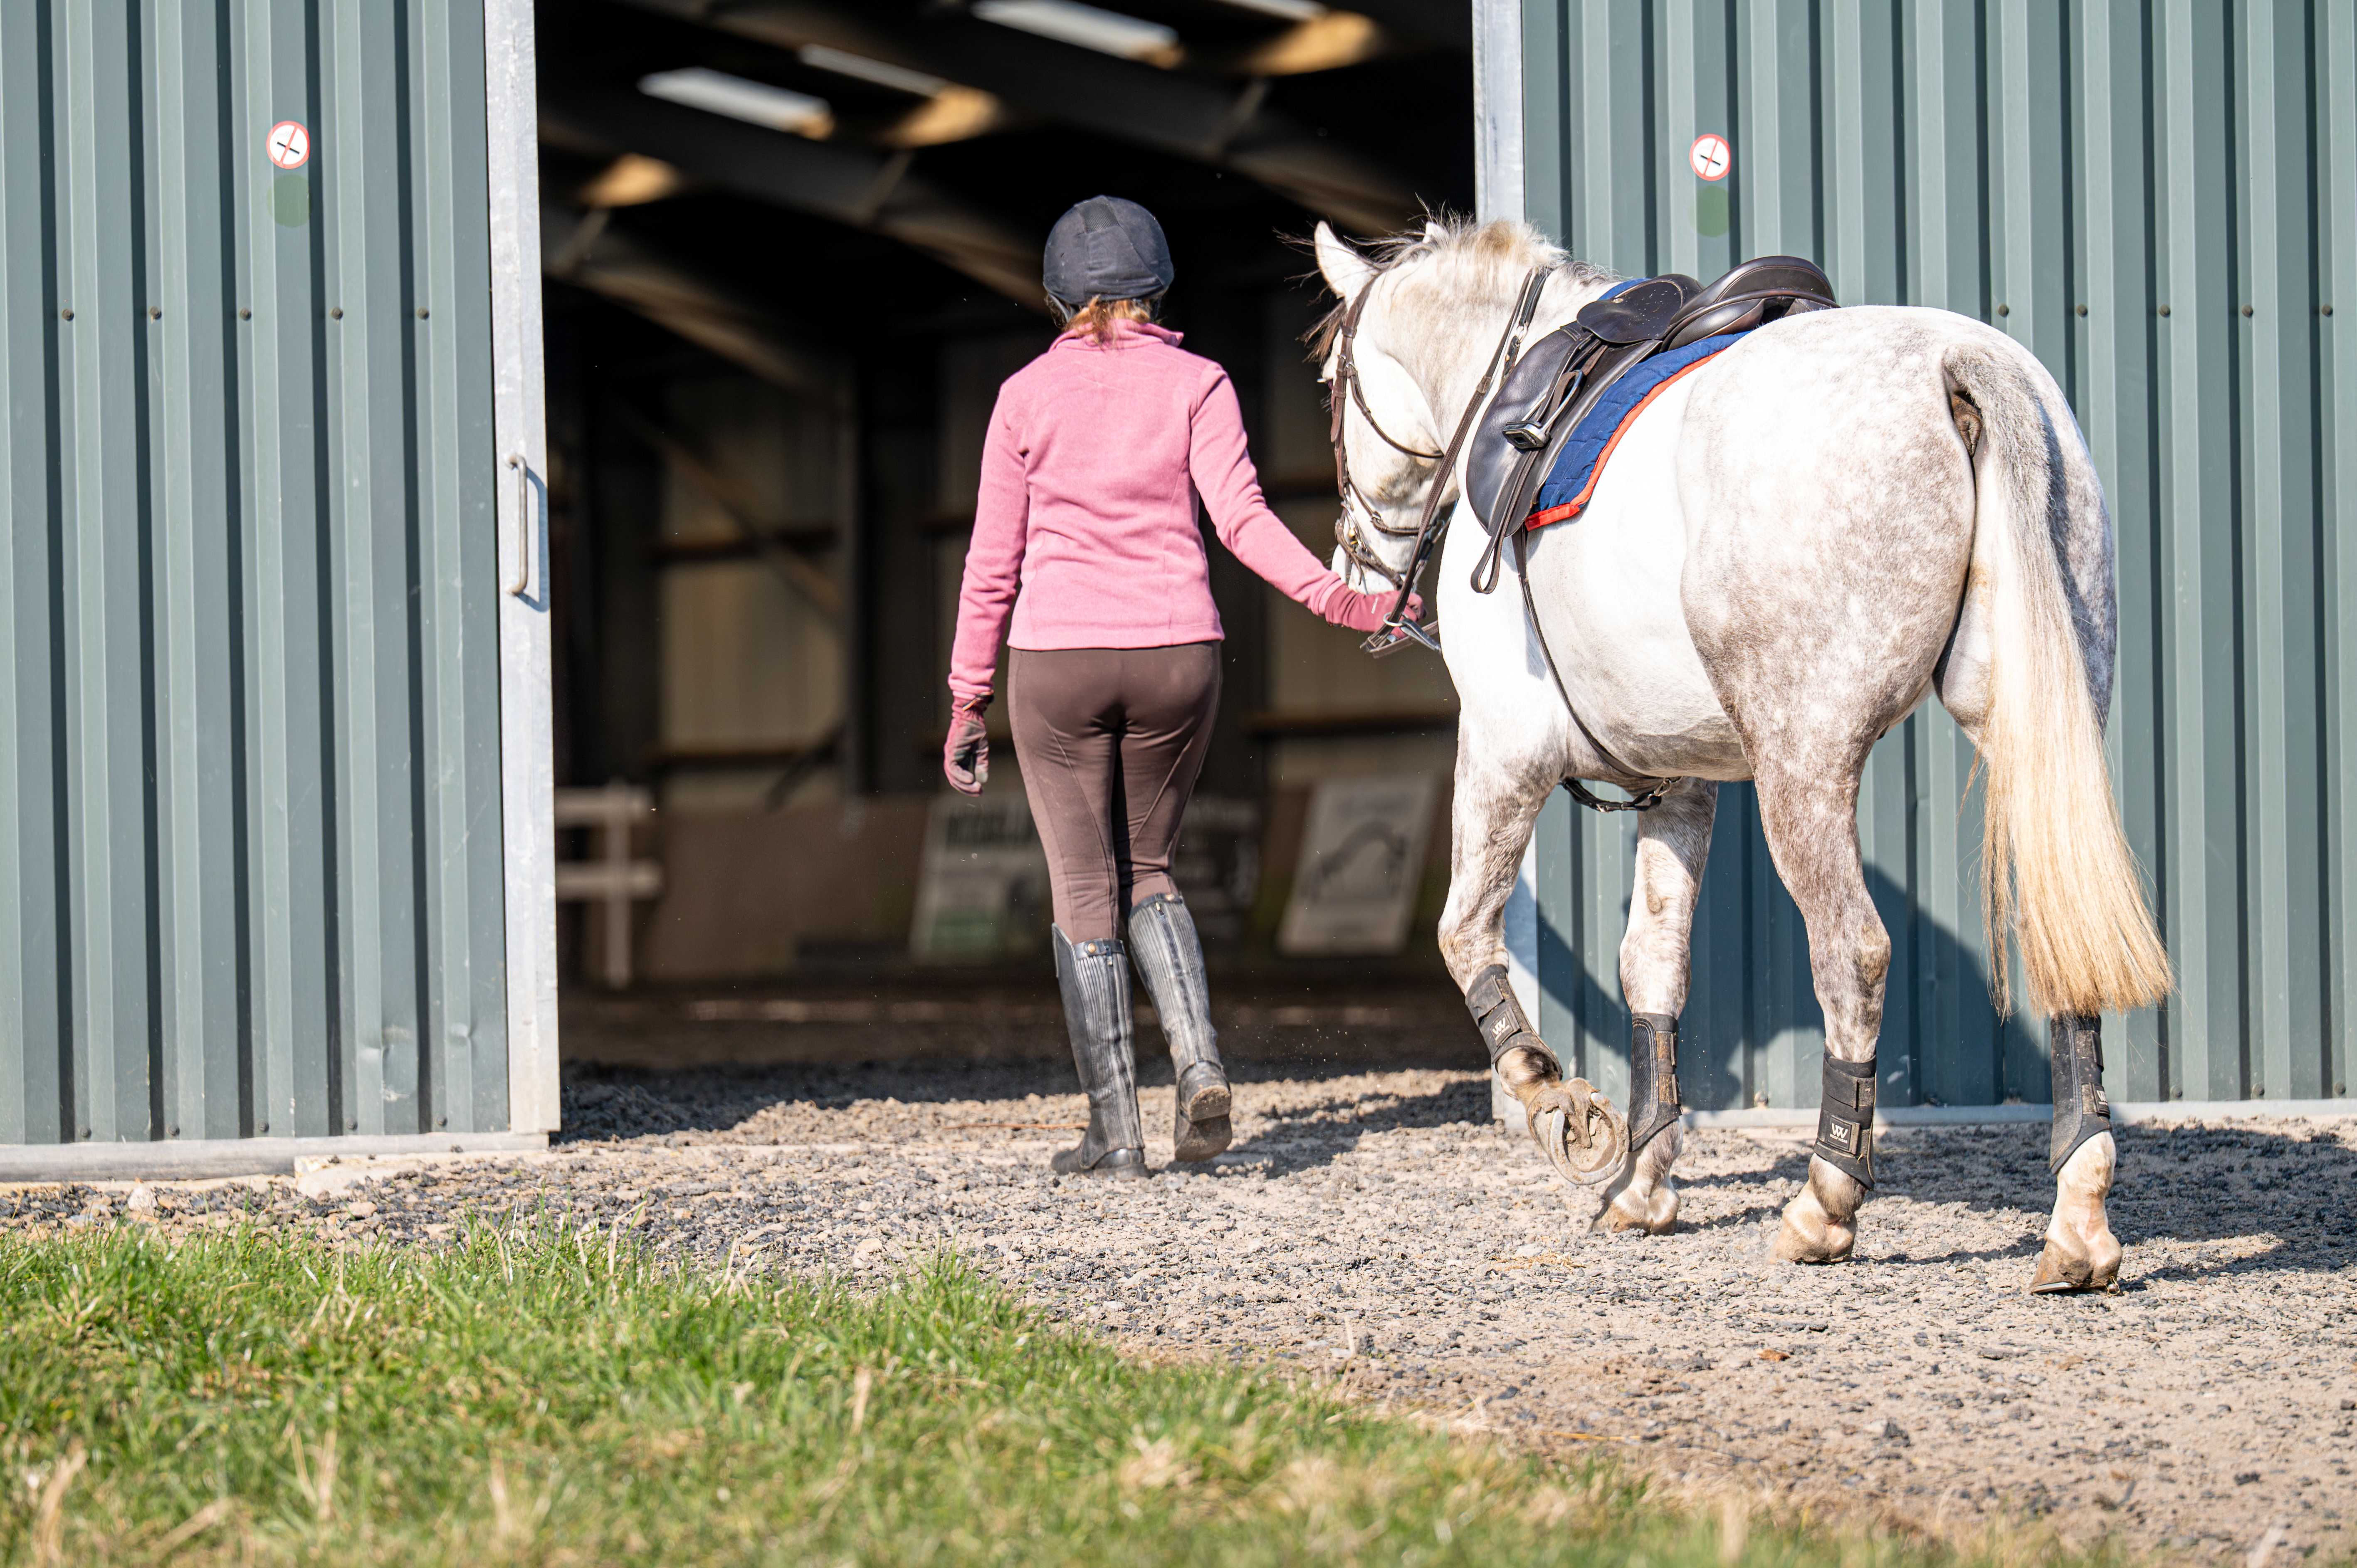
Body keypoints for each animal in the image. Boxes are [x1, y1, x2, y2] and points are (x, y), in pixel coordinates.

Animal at [1312, 217, 2171, 1292]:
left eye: (1329, 383)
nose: (1350, 570)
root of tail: (1953, 361)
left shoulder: (1503, 753)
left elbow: (1463, 934)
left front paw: (1557, 1106)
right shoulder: (1678, 785)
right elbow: (1652, 968)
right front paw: (1640, 1181)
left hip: (1802, 766)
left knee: (1851, 951)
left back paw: (1825, 1201)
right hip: (2026, 731)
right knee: (2061, 943)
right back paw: (2077, 1219)